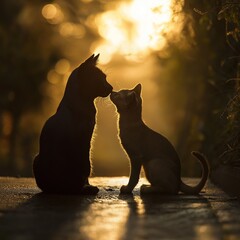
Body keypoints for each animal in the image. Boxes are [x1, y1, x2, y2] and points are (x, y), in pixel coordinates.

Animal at [32, 53, 113, 194]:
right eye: (101, 79)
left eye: (105, 78)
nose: (111, 87)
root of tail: (60, 189)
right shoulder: (86, 139)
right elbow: (86, 169)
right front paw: (88, 186)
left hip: (36, 158)